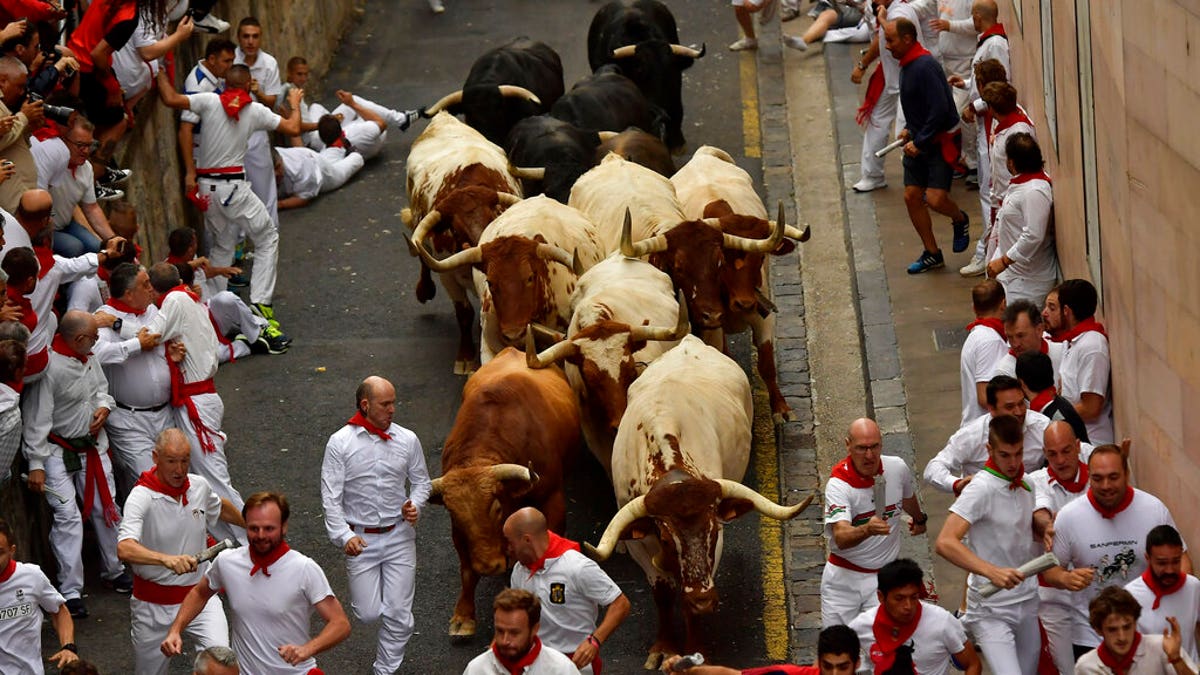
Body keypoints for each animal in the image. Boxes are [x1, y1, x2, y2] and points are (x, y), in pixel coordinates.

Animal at [427, 345, 585, 634]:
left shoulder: (552, 500)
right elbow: (467, 571)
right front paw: (464, 615)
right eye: (455, 515)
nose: (489, 565)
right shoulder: (458, 533)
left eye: (496, 507)